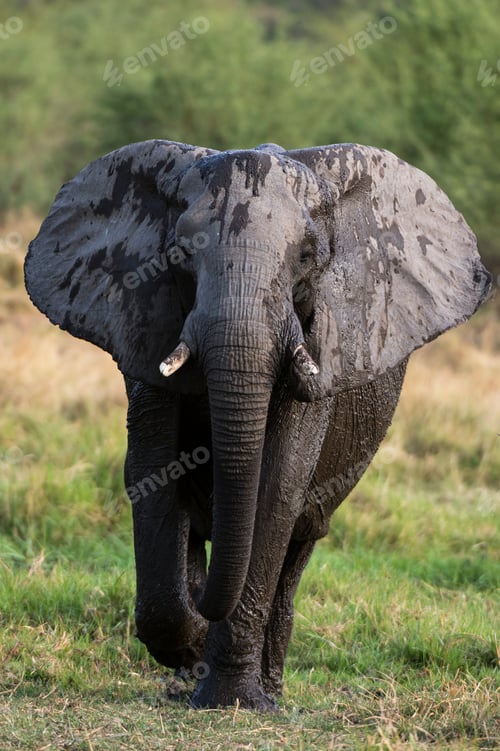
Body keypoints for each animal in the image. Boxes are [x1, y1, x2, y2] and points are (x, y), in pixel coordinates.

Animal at [24, 139, 491, 711]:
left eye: (308, 258)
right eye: (180, 255)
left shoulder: (320, 346)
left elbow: (277, 487)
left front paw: (232, 701)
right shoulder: (146, 325)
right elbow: (152, 474)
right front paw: (192, 645)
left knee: (297, 547)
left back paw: (267, 687)